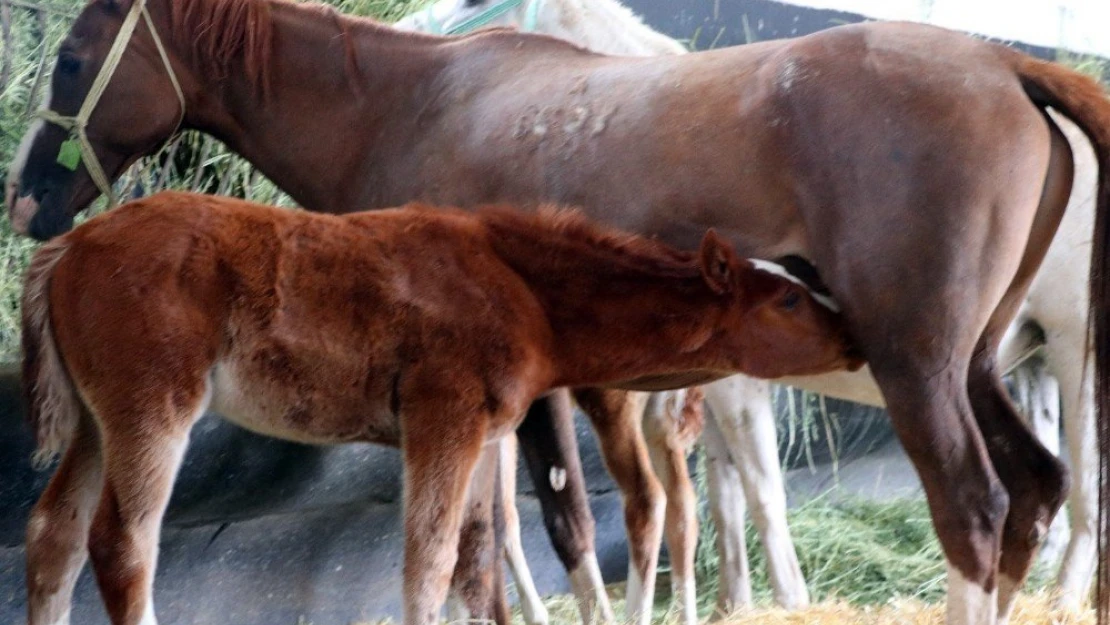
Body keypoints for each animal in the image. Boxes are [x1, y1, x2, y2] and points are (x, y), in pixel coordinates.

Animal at [21, 192, 856, 625]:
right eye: (786, 298)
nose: (854, 333)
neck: (526, 290)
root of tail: (66, 248)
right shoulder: (442, 419)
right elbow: (427, 562)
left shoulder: (485, 434)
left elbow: (474, 559)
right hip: (152, 406)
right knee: (122, 543)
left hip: (95, 423)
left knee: (53, 536)